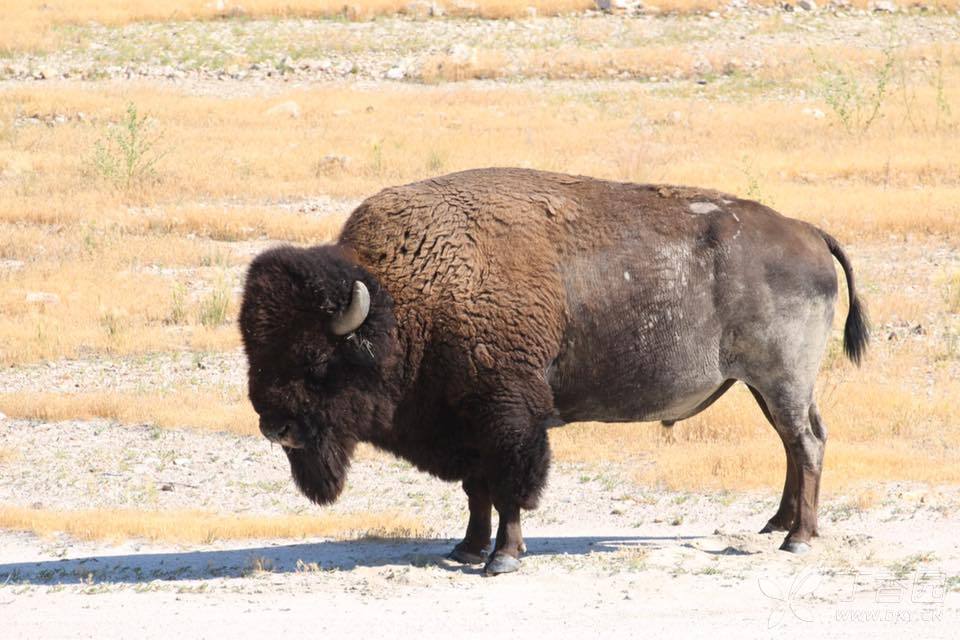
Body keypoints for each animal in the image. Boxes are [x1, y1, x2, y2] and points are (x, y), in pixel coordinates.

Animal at [239, 168, 869, 575]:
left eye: (317, 360)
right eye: (254, 351)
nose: (275, 426)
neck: (405, 299)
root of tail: (808, 232)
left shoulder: (508, 420)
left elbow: (510, 488)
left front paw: (503, 558)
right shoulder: (467, 425)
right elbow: (477, 491)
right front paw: (466, 549)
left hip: (780, 380)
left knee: (807, 442)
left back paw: (797, 539)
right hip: (764, 386)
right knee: (795, 443)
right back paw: (776, 523)